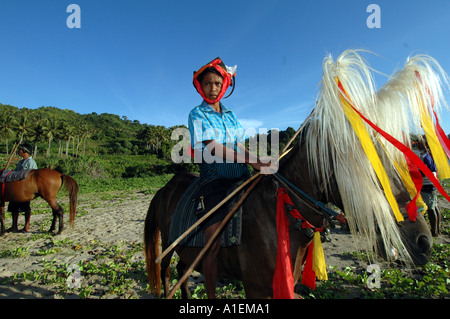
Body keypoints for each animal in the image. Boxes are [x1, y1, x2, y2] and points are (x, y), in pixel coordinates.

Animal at [143, 50, 446, 300]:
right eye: (370, 172)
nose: (424, 242)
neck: (282, 213)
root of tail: (166, 188)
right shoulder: (257, 289)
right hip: (168, 247)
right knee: (168, 273)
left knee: (182, 274)